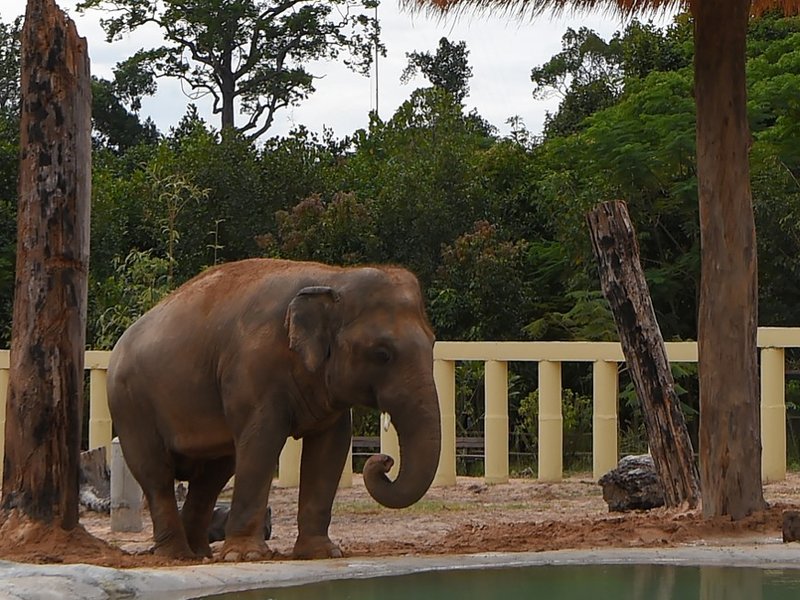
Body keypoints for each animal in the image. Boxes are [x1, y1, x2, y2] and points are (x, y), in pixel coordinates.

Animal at [107, 258, 441, 561]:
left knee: (212, 476)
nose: (384, 460)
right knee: (156, 474)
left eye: (433, 343)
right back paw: (177, 556)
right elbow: (261, 444)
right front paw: (245, 556)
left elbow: (330, 448)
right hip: (130, 405)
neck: (333, 277)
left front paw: (323, 553)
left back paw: (199, 553)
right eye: (382, 354)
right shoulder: (252, 370)